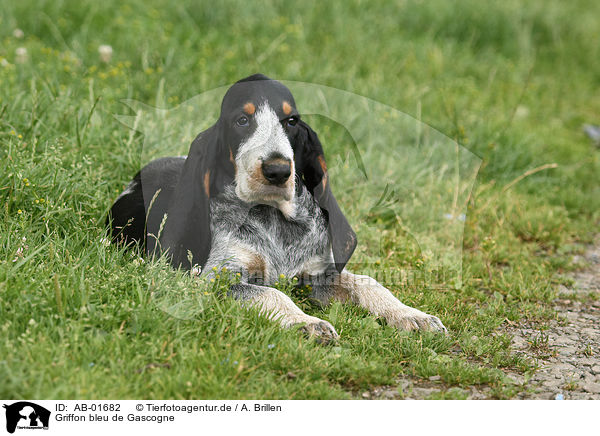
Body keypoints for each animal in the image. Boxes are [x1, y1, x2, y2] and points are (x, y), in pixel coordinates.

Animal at [106, 73, 446, 342]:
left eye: (291, 121)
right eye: (242, 121)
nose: (278, 170)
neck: (274, 219)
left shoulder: (314, 275)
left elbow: (367, 282)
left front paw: (411, 315)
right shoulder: (218, 280)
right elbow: (270, 292)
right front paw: (306, 322)